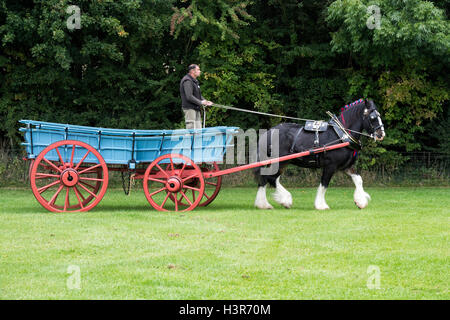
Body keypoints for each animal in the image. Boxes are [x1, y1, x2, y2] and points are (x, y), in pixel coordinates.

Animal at [255, 99, 384, 211]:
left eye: (379, 115)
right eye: (372, 117)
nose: (381, 134)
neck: (342, 136)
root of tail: (268, 132)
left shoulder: (346, 166)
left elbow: (359, 180)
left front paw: (361, 202)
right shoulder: (330, 166)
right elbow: (324, 184)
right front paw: (321, 205)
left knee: (265, 179)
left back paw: (263, 204)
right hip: (280, 162)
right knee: (271, 178)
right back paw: (284, 200)